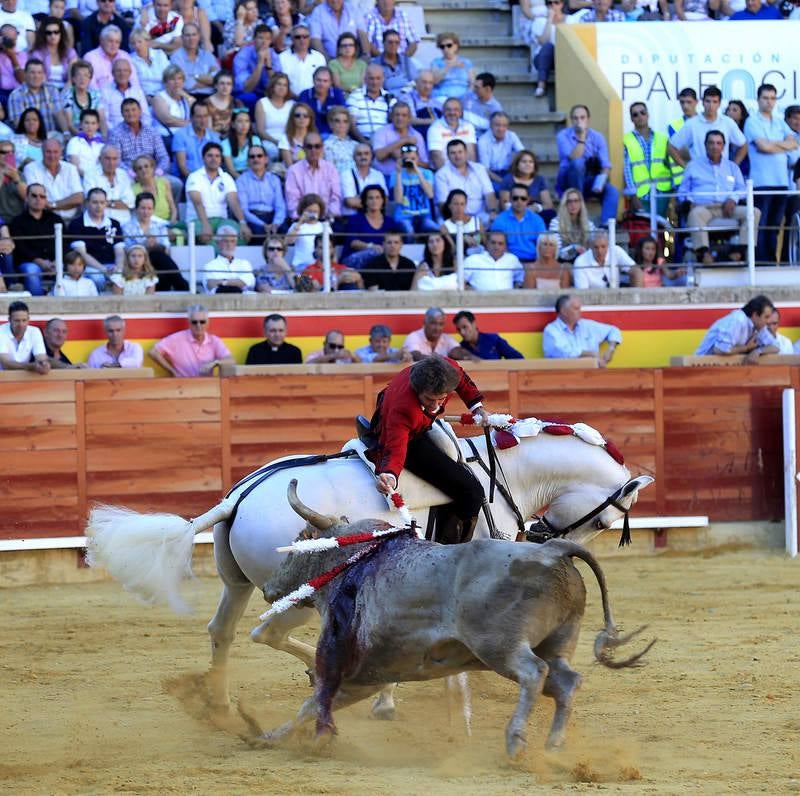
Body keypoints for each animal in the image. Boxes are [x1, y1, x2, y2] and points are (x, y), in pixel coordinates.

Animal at [87, 420, 652, 720]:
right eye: (604, 520)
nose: (550, 543)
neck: (500, 475)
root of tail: (239, 497)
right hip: (299, 594)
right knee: (268, 633)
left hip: (238, 584)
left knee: (224, 631)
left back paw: (221, 706)